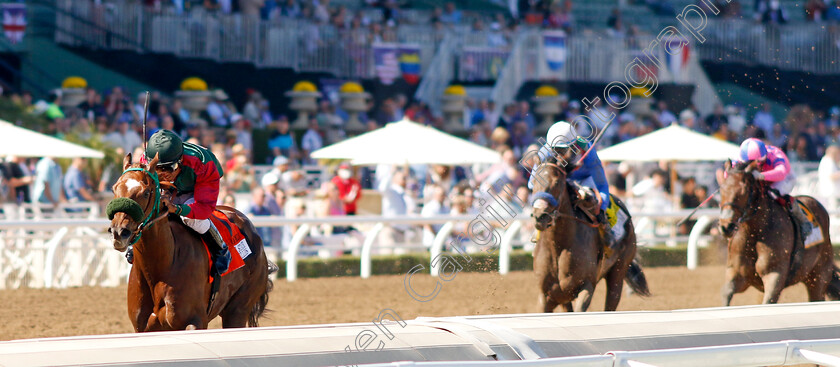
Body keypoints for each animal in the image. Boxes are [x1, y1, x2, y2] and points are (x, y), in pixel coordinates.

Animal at [107, 154, 272, 332]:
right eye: (114, 189)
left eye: (145, 193)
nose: (119, 232)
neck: (162, 265)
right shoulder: (142, 328)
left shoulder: (195, 321)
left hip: (238, 310)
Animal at [532, 161, 648, 314]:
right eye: (533, 182)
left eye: (556, 182)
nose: (540, 216)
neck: (558, 247)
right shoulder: (547, 296)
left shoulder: (586, 286)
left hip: (618, 272)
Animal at [720, 160, 836, 306]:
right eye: (722, 189)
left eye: (744, 191)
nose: (726, 226)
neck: (755, 232)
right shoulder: (738, 274)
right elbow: (726, 294)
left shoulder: (775, 274)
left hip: (819, 275)